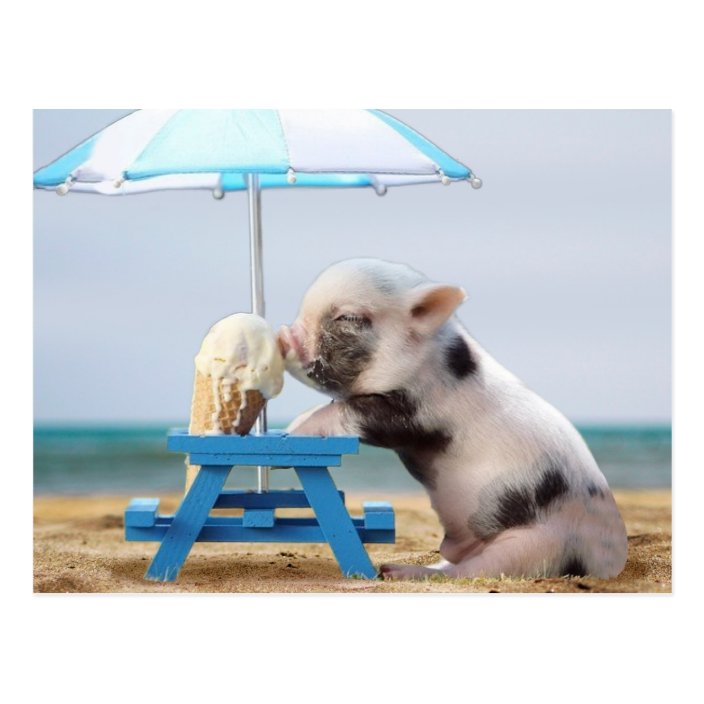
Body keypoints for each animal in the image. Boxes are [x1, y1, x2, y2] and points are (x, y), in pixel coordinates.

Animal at [278, 258, 628, 580]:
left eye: (348, 317)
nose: (283, 335)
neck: (428, 360)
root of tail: (610, 561)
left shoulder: (417, 412)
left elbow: (351, 411)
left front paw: (291, 432)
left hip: (539, 545)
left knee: (472, 571)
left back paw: (394, 572)